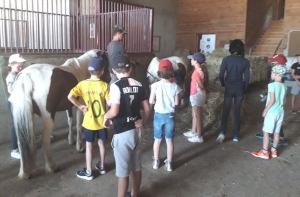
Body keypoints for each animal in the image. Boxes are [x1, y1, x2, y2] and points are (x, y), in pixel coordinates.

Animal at [9, 48, 110, 179]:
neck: (81, 70)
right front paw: (80, 147)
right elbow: (78, 125)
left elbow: (70, 121)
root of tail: (26, 76)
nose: (109, 79)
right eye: (106, 62)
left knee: (22, 143)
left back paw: (24, 172)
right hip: (48, 117)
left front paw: (71, 140)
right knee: (44, 140)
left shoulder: (69, 106)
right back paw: (52, 167)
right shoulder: (81, 107)